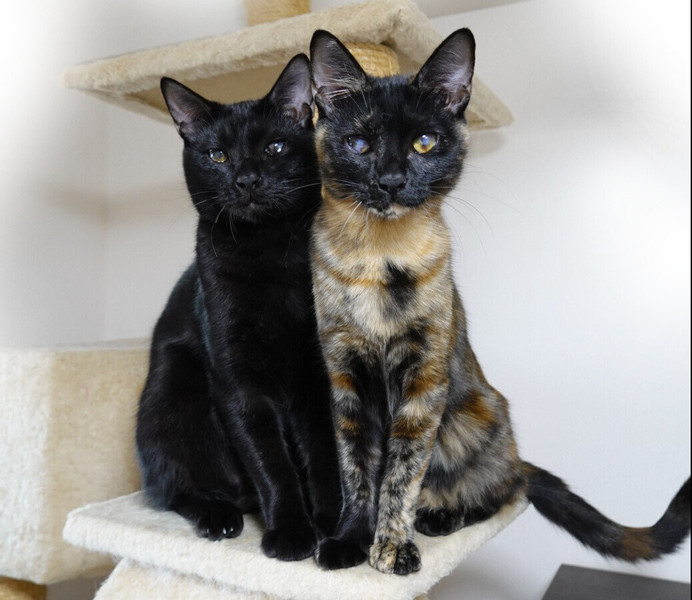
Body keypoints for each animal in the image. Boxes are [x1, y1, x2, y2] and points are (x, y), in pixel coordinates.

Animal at [135, 54, 341, 562]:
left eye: (274, 147)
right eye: (217, 156)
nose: (246, 180)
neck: (269, 255)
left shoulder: (319, 376)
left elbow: (324, 453)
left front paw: (332, 522)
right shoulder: (238, 383)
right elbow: (270, 462)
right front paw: (291, 532)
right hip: (172, 383)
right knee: (175, 486)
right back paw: (218, 515)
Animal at [308, 29, 691, 575]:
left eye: (425, 141)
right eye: (360, 143)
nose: (391, 181)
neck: (380, 258)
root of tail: (515, 453)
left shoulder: (424, 381)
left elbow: (401, 472)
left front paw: (392, 545)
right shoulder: (346, 377)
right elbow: (358, 467)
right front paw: (349, 539)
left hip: (473, 418)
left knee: (507, 490)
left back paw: (440, 518)